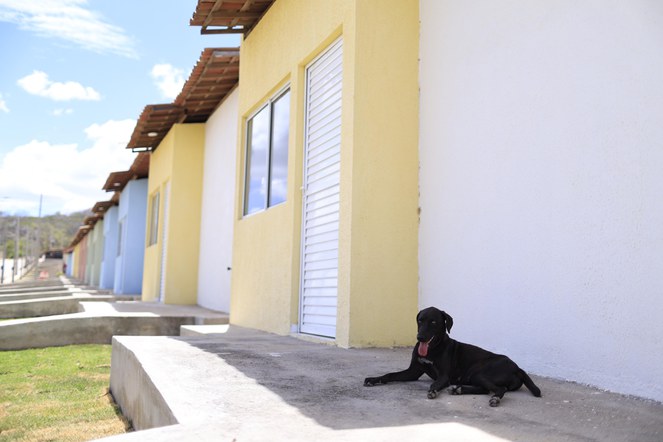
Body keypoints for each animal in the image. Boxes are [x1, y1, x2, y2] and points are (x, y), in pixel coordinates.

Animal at [366, 308, 544, 408]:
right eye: (420, 320)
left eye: (433, 322)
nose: (420, 337)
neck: (433, 349)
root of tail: (518, 368)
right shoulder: (413, 372)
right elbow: (390, 375)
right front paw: (373, 380)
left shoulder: (444, 376)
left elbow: (435, 383)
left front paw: (433, 391)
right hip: (475, 376)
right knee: (486, 389)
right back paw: (458, 389)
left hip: (479, 372)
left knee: (498, 389)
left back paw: (494, 399)